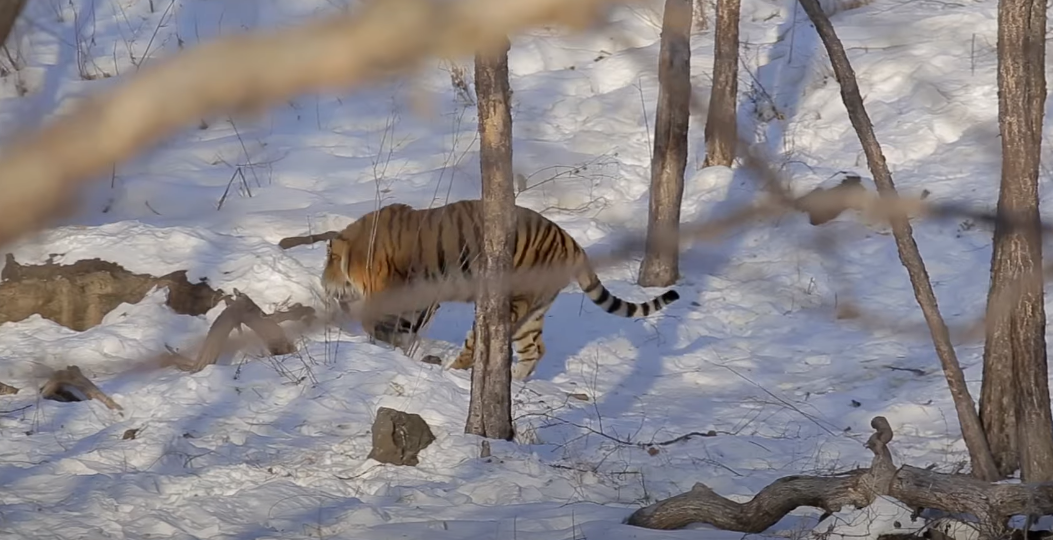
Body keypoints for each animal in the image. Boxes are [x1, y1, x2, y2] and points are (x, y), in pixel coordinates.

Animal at [322, 197, 682, 378]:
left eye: (329, 259)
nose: (324, 283)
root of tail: (572, 241)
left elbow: (378, 321)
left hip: (510, 301)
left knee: (480, 344)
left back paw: (458, 372)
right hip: (532, 310)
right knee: (535, 349)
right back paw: (518, 383)